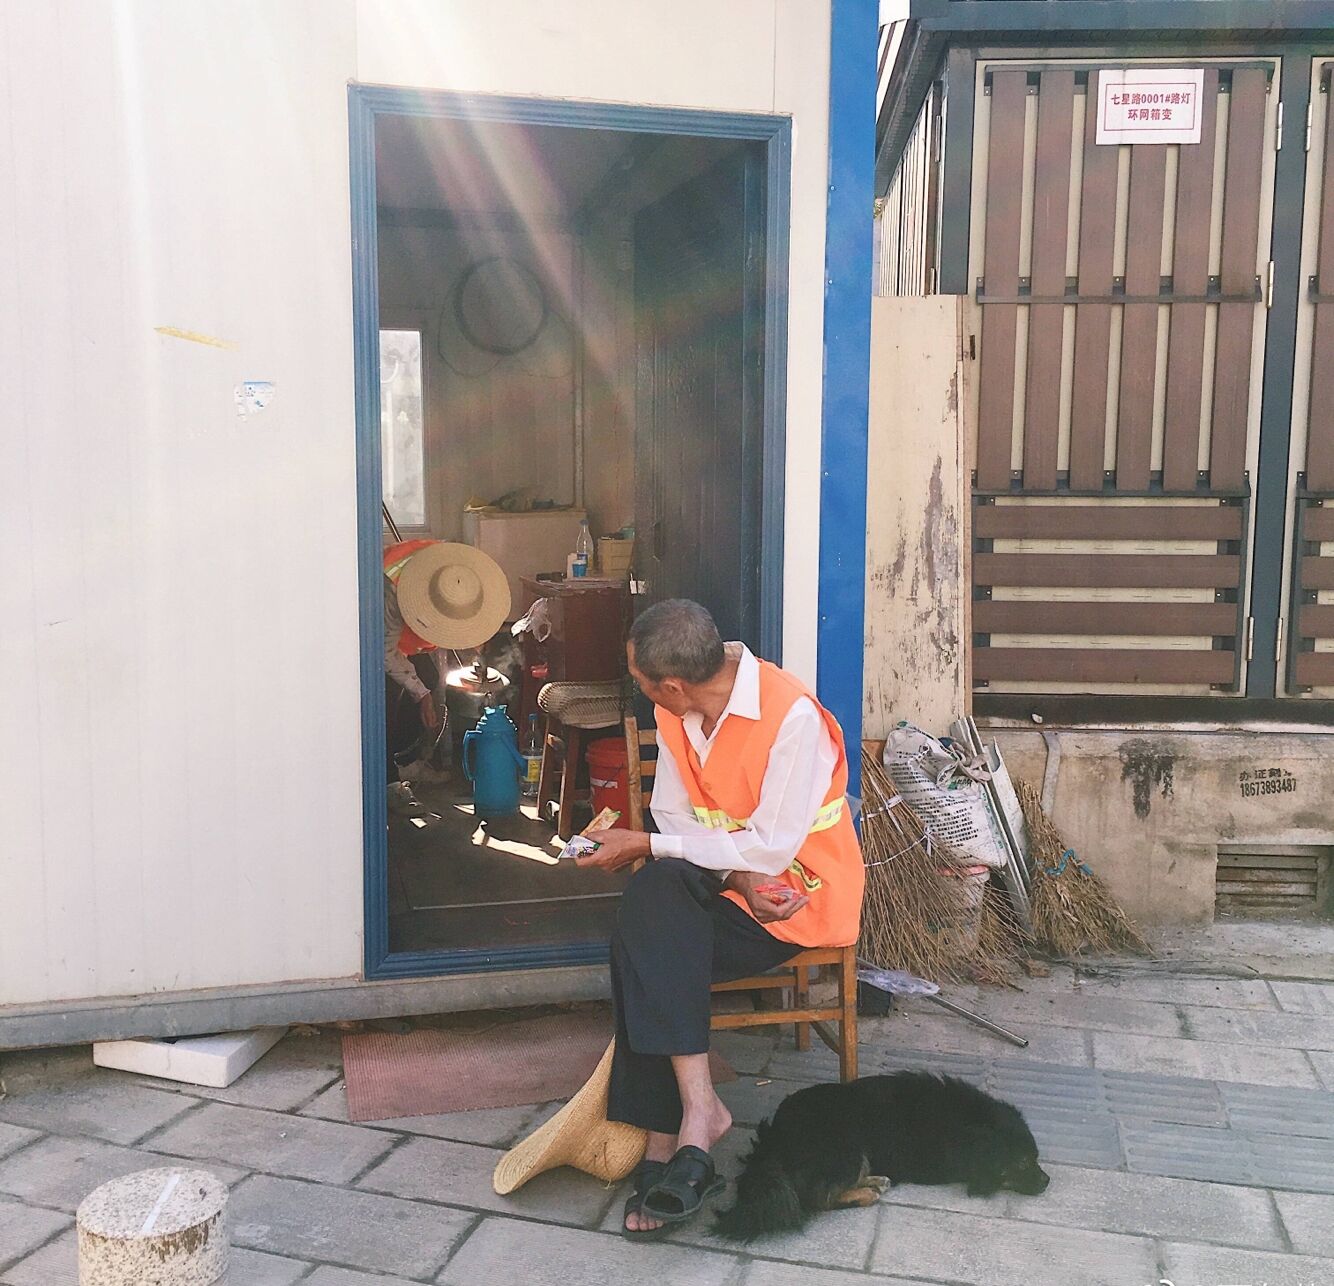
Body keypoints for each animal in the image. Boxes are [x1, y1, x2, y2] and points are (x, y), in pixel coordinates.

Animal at [713, 1071, 1050, 1241]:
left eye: (1036, 1157)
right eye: (1022, 1162)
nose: (1047, 1181)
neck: (965, 1121)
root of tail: (775, 1137)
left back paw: (875, 1181)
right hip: (847, 1149)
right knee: (817, 1197)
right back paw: (866, 1193)